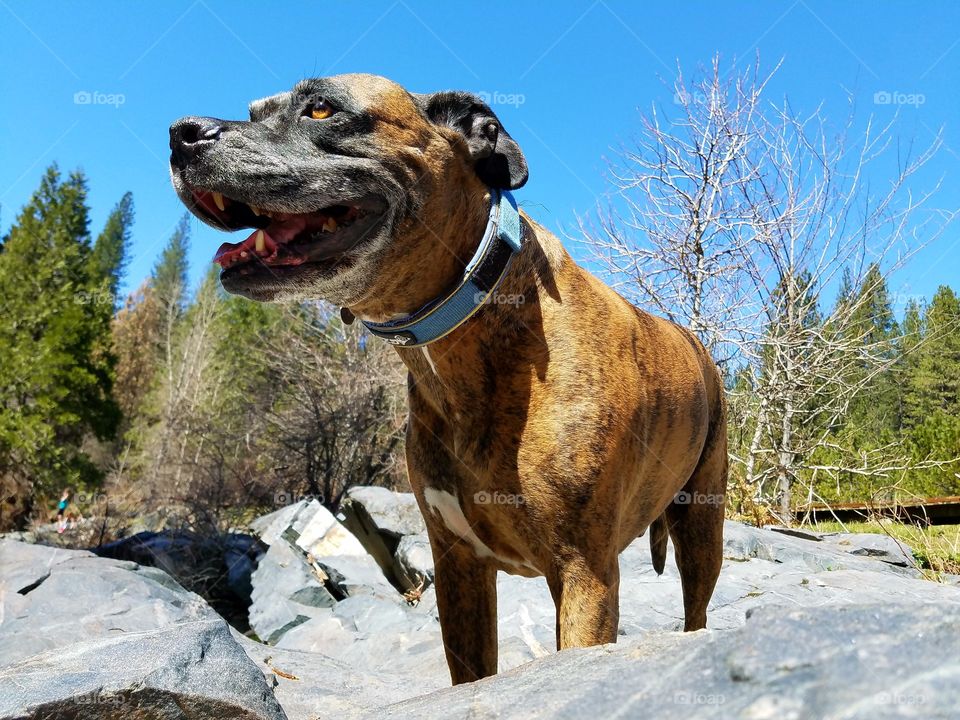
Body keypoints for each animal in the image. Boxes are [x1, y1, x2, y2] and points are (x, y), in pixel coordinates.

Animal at [171, 74, 728, 688]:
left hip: (703, 525)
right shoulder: (458, 568)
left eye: (320, 108)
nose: (181, 132)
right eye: (254, 112)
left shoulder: (586, 574)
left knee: (698, 609)